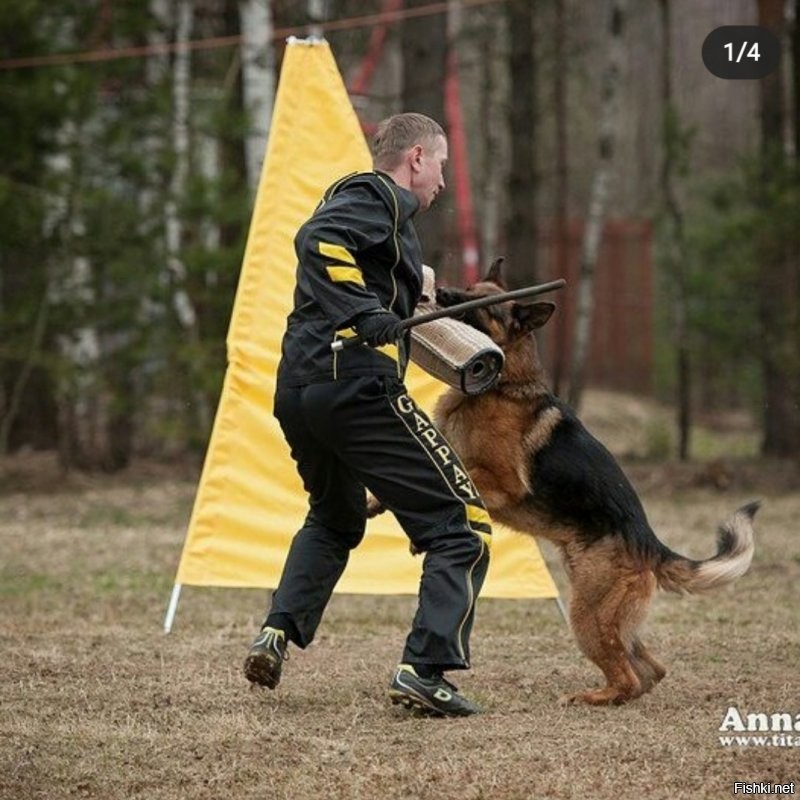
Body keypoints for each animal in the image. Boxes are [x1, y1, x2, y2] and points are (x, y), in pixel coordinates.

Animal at [380, 260, 756, 704]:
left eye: (481, 304)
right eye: (469, 289)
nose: (440, 293)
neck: (501, 386)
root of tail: (648, 541)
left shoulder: (502, 482)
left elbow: (463, 480)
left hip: (586, 614)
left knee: (629, 677)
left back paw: (589, 697)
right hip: (601, 611)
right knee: (650, 670)